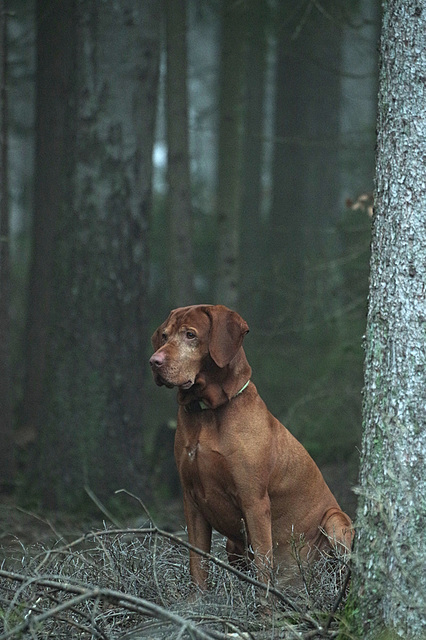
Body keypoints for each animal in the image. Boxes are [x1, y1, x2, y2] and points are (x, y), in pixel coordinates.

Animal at [150, 304, 352, 592]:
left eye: (190, 334)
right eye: (164, 336)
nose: (154, 361)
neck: (207, 413)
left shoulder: (254, 501)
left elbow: (263, 573)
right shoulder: (192, 501)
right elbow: (197, 566)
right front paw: (197, 602)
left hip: (336, 521)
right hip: (232, 544)